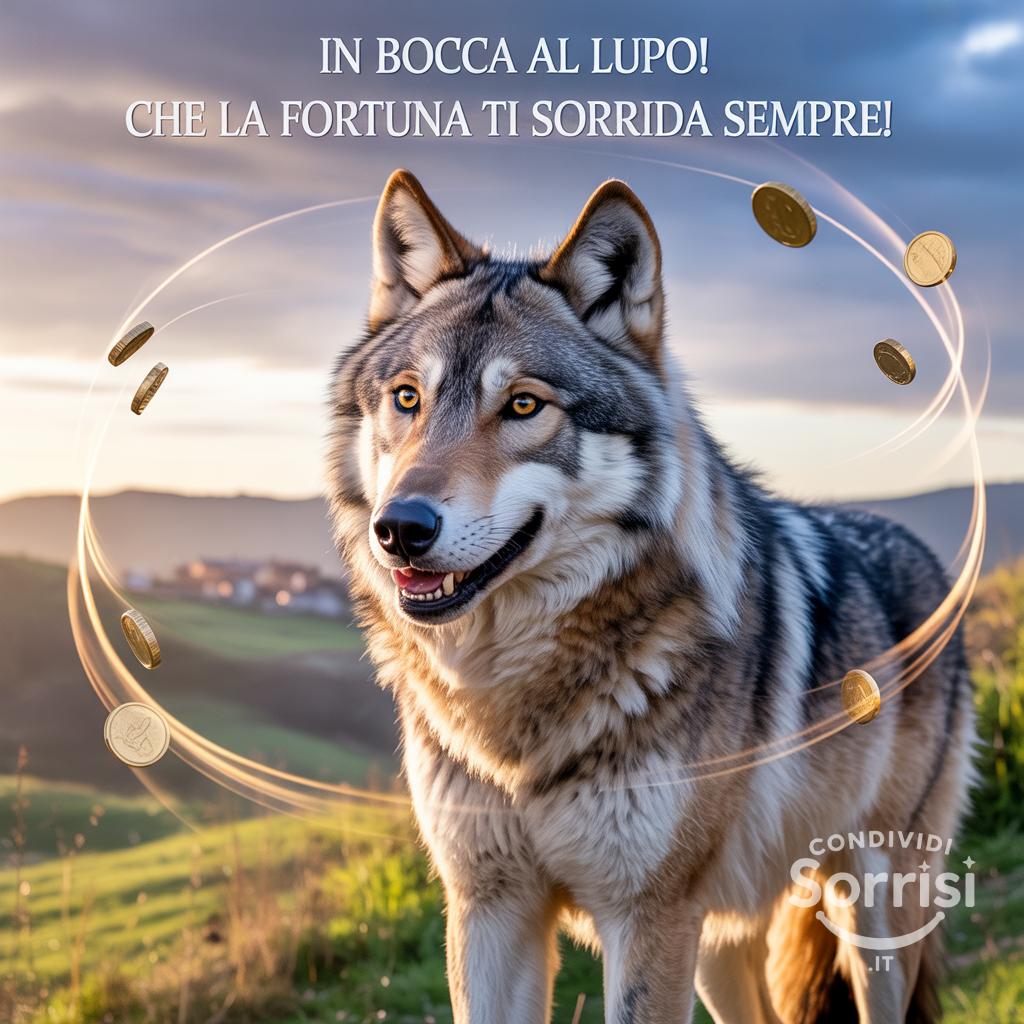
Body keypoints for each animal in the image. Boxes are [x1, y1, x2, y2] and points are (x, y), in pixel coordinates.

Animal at [327, 169, 975, 1023]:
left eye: (524, 405)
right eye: (407, 399)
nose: (400, 528)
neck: (514, 707)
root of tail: (919, 550)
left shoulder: (649, 916)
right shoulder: (489, 908)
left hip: (869, 909)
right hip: (724, 944)